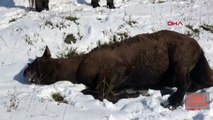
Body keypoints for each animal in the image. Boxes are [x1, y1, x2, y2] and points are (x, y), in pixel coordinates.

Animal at [22, 29, 213, 109]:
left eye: (37, 62)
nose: (24, 71)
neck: (75, 70)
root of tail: (198, 47)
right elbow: (101, 92)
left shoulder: (116, 69)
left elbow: (100, 93)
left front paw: (132, 94)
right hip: (198, 68)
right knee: (202, 82)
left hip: (179, 60)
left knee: (185, 82)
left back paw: (173, 100)